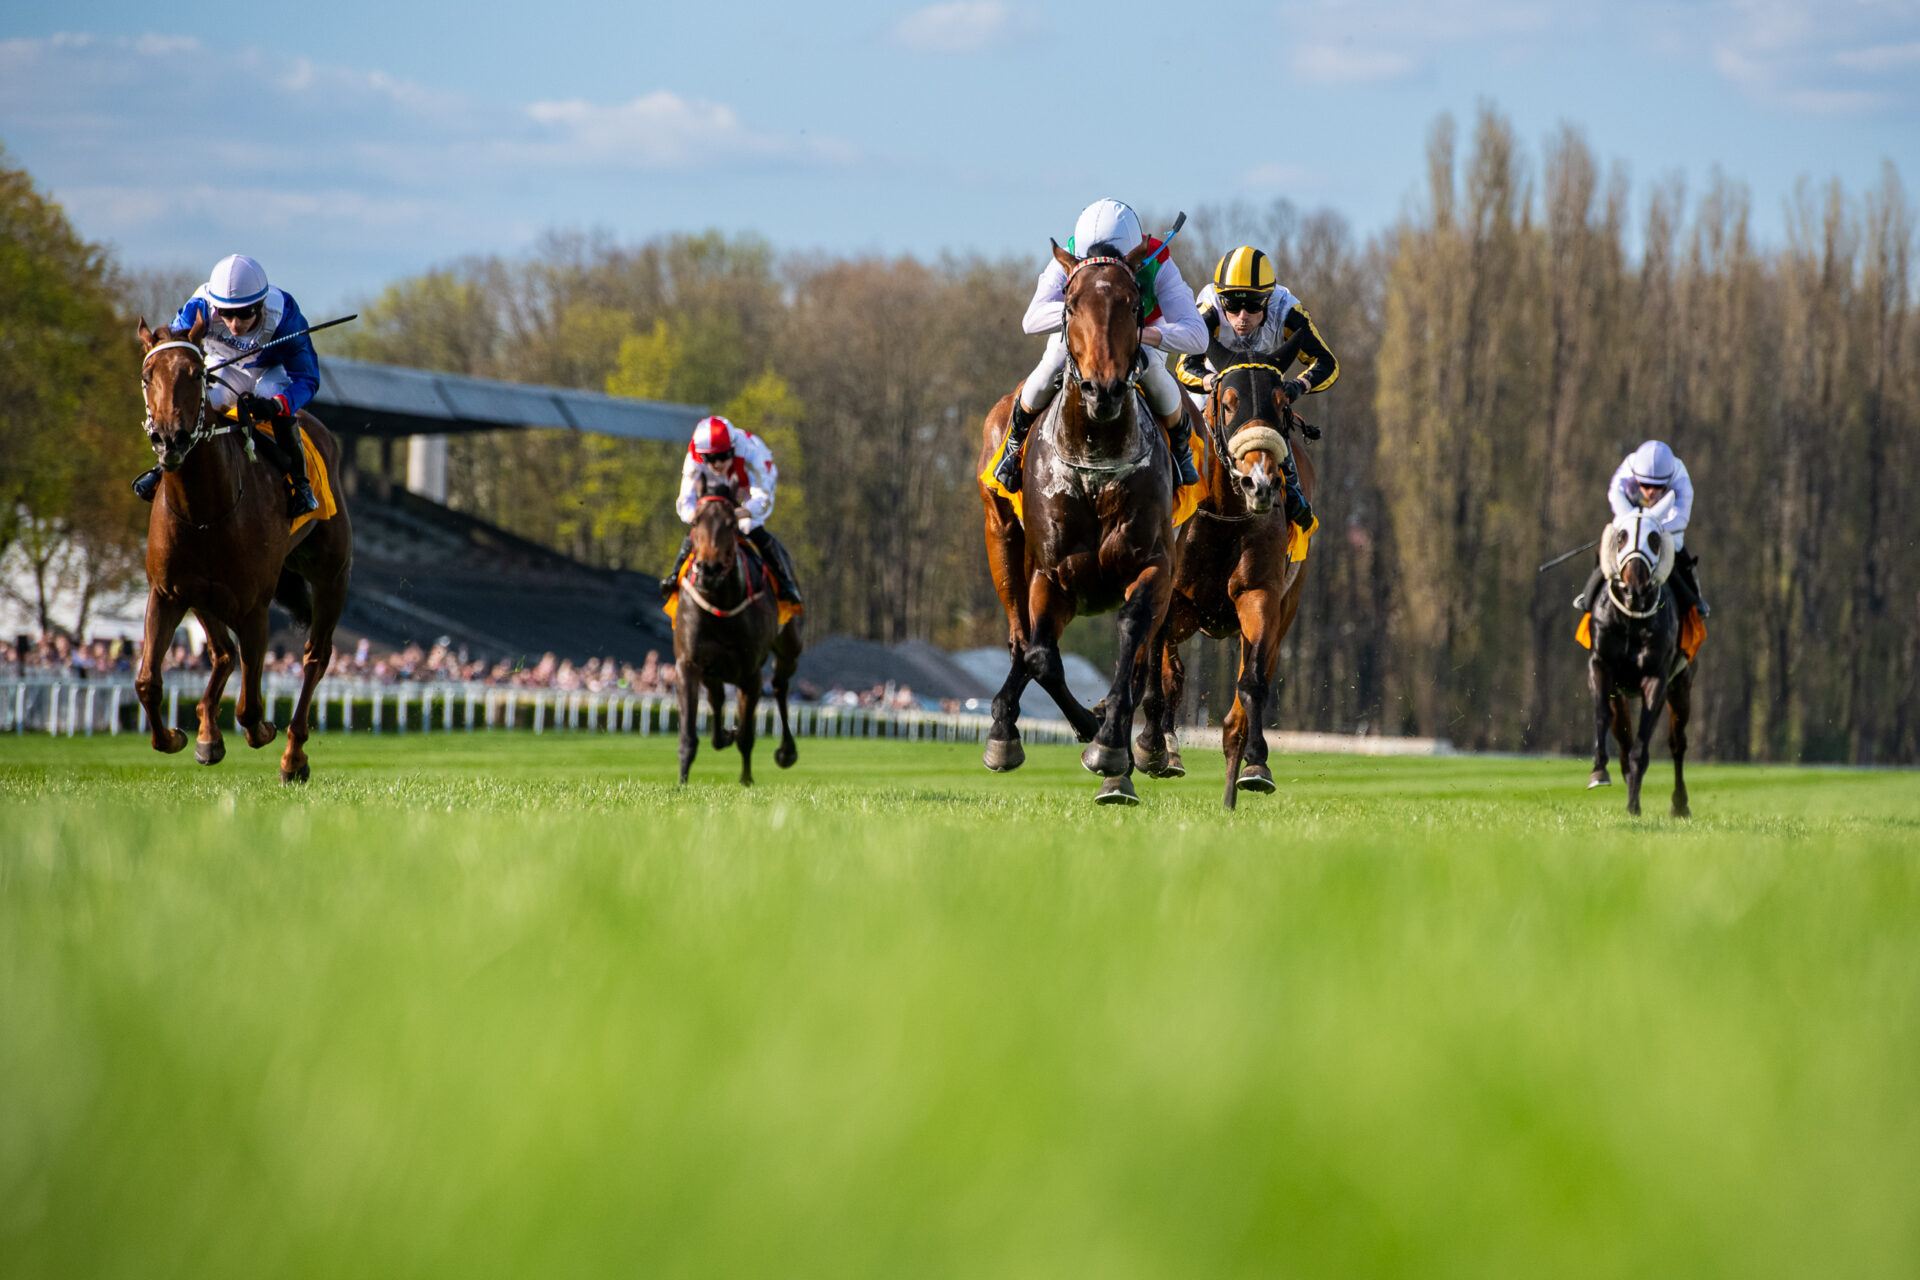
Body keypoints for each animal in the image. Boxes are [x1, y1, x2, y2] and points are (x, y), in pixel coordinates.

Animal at [134, 314, 353, 786]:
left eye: (196, 374)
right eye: (148, 375)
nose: (170, 439)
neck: (205, 509)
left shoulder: (255, 607)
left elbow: (251, 708)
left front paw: (264, 731)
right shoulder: (168, 592)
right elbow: (148, 683)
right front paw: (176, 737)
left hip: (332, 575)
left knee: (314, 658)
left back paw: (293, 757)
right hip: (204, 596)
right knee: (222, 653)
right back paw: (208, 735)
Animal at [675, 477, 802, 782]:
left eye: (732, 524)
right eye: (695, 522)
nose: (708, 570)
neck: (721, 604)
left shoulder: (751, 672)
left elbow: (746, 735)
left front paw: (746, 780)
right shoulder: (689, 663)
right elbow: (689, 734)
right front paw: (682, 780)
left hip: (789, 649)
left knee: (779, 686)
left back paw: (786, 751)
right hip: (713, 671)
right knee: (718, 697)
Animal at [975, 237, 1182, 809]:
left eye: (1133, 305)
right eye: (1070, 305)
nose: (1102, 390)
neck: (1094, 461)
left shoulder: (1155, 565)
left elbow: (1133, 634)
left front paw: (1112, 744)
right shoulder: (1053, 576)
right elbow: (1042, 656)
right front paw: (1094, 731)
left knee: (1145, 655)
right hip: (1002, 539)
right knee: (1020, 639)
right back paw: (1005, 727)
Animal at [1128, 355, 1313, 805]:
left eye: (1283, 405)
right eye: (1227, 405)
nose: (1260, 483)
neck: (1225, 514)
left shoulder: (1259, 596)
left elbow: (1251, 684)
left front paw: (1257, 763)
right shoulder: (1170, 595)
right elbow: (1158, 677)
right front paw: (1152, 746)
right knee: (1167, 672)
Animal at [1582, 506, 1689, 817]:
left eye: (1654, 539)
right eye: (1621, 536)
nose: (1635, 590)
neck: (1631, 619)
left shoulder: (1657, 678)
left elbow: (1642, 746)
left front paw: (1633, 805)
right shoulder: (1601, 666)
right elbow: (1603, 716)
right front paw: (1598, 771)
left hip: (1681, 685)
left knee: (1678, 743)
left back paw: (1680, 804)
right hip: (1621, 693)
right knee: (1623, 738)